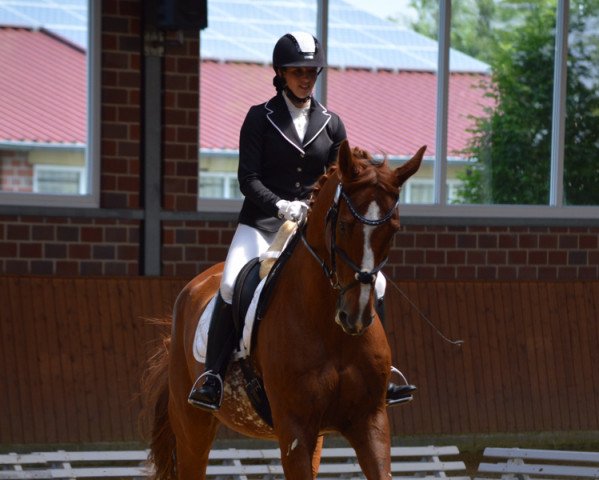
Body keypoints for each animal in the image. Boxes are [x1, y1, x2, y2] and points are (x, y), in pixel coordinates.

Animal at [144, 140, 426, 480]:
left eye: (394, 230)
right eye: (344, 226)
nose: (355, 317)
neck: (331, 332)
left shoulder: (370, 422)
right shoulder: (295, 429)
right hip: (192, 425)